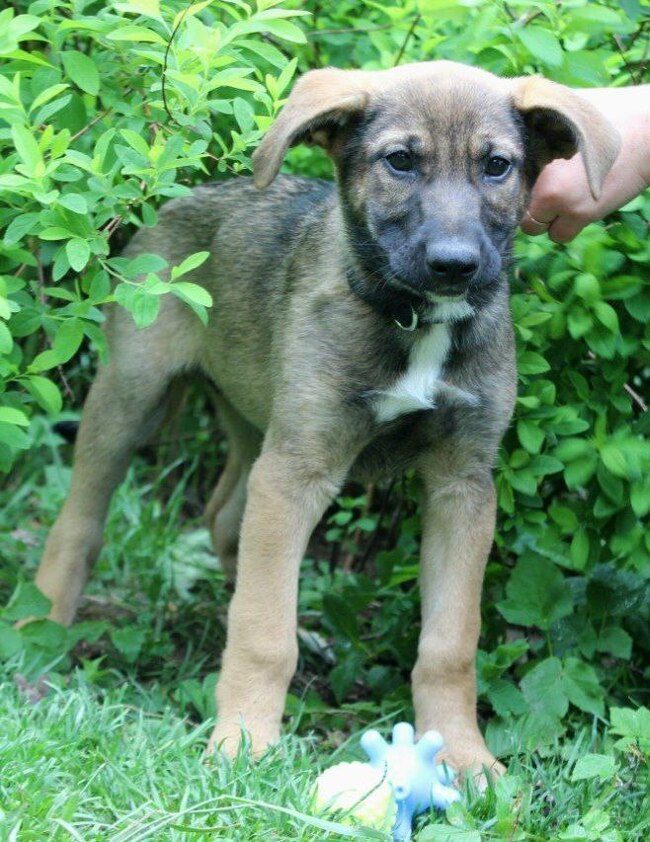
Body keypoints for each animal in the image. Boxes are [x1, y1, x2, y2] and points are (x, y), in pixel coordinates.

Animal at [34, 60, 620, 777]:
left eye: (497, 166)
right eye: (400, 161)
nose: (455, 264)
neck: (414, 320)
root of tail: (187, 192)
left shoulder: (462, 485)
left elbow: (450, 645)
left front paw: (463, 755)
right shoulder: (300, 468)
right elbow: (263, 629)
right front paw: (244, 742)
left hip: (256, 422)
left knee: (224, 519)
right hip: (132, 398)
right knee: (79, 524)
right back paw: (39, 632)